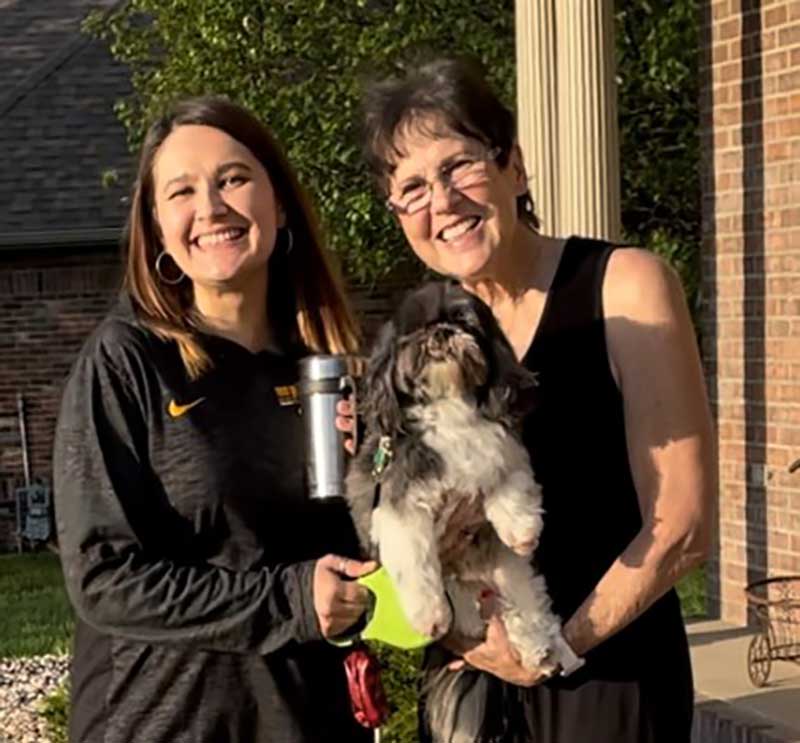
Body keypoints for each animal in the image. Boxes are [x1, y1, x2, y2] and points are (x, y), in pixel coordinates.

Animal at [344, 282, 576, 740]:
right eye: (416, 331)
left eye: (464, 322)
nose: (441, 333)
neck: (450, 411)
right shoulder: (399, 504)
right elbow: (415, 562)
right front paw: (429, 616)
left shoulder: (502, 451)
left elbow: (512, 486)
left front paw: (523, 528)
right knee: (459, 590)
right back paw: (467, 614)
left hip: (508, 572)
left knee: (527, 602)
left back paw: (539, 646)